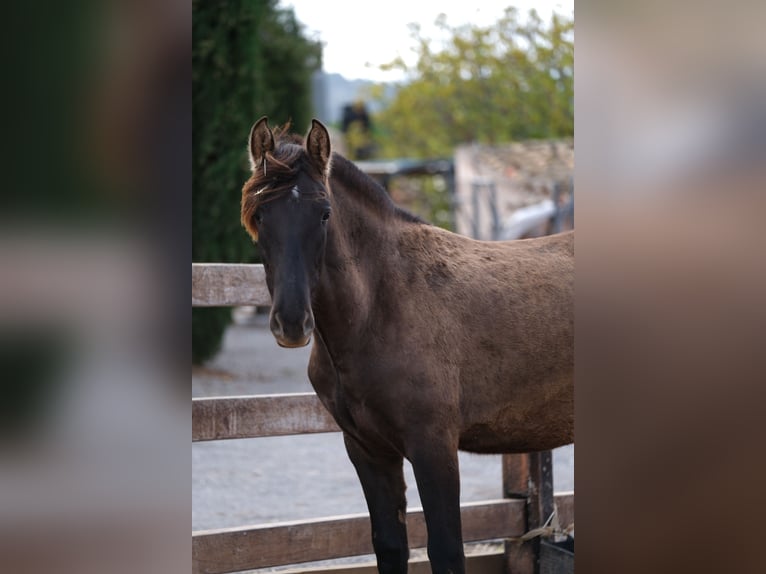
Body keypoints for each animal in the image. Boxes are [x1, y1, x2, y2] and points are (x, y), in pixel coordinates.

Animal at [240, 117, 574, 574]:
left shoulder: (434, 447)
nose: (291, 324)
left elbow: (446, 550)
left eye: (324, 213)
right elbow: (390, 545)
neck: (382, 307)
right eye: (259, 215)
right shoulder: (368, 450)